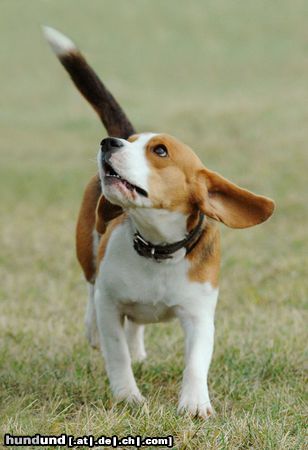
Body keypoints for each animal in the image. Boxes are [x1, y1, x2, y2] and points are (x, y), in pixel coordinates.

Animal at [42, 26, 274, 416]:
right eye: (132, 143)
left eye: (160, 151)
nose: (109, 142)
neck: (157, 247)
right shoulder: (110, 304)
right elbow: (116, 353)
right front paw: (127, 396)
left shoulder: (199, 315)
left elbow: (196, 362)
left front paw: (195, 404)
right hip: (88, 251)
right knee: (91, 289)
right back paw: (95, 331)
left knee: (135, 325)